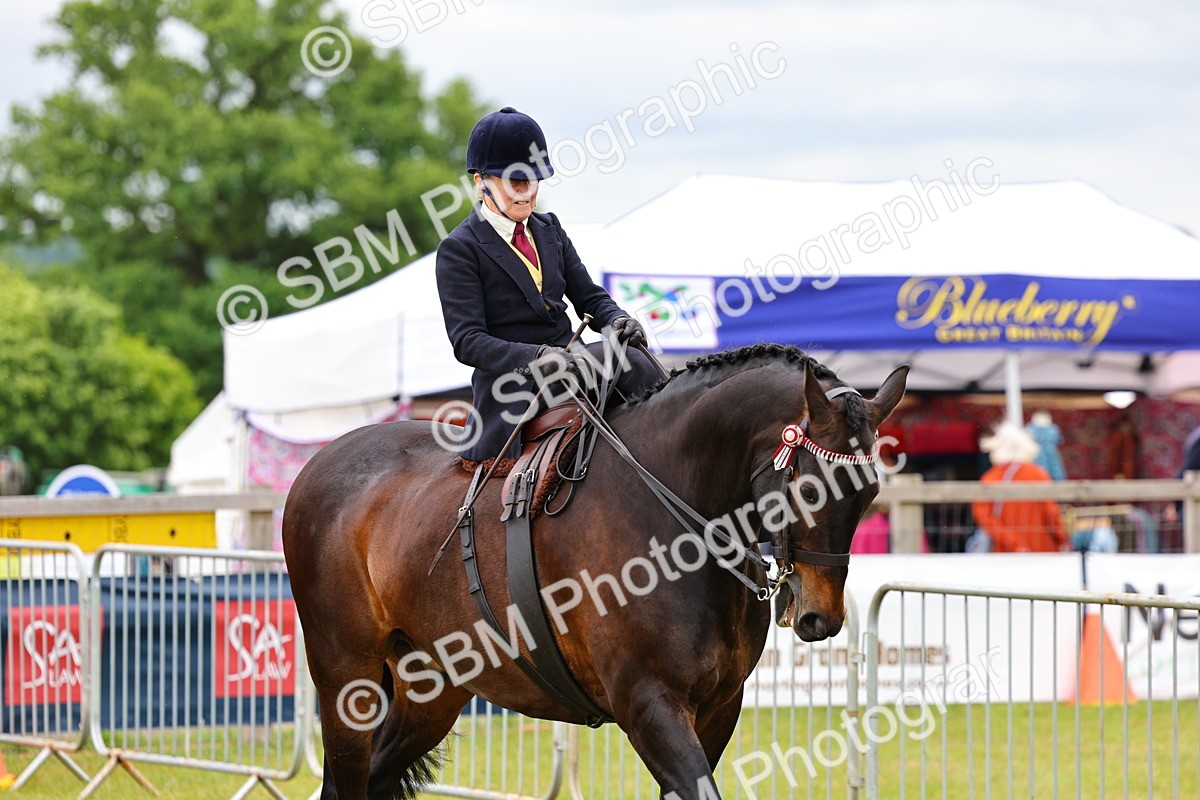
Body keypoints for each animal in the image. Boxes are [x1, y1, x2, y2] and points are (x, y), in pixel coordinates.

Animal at [283, 343, 908, 800]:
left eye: (870, 491)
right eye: (810, 487)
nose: (821, 617)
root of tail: (321, 460)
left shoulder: (718, 709)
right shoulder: (648, 703)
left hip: (431, 690)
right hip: (346, 679)